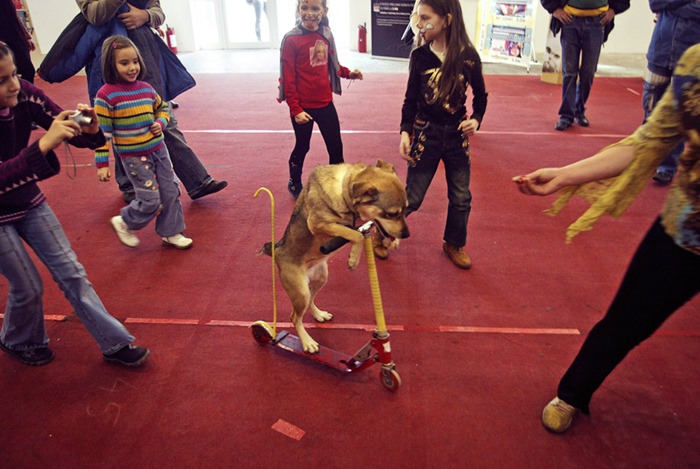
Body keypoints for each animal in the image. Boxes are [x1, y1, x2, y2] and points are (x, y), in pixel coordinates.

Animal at [260, 160, 408, 352]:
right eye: (391, 214)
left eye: (405, 210)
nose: (406, 235)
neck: (344, 191)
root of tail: (276, 251)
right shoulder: (318, 223)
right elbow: (356, 234)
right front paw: (353, 259)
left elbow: (359, 231)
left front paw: (392, 242)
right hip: (300, 292)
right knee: (295, 317)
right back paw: (307, 342)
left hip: (320, 279)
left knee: (311, 301)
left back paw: (319, 315)